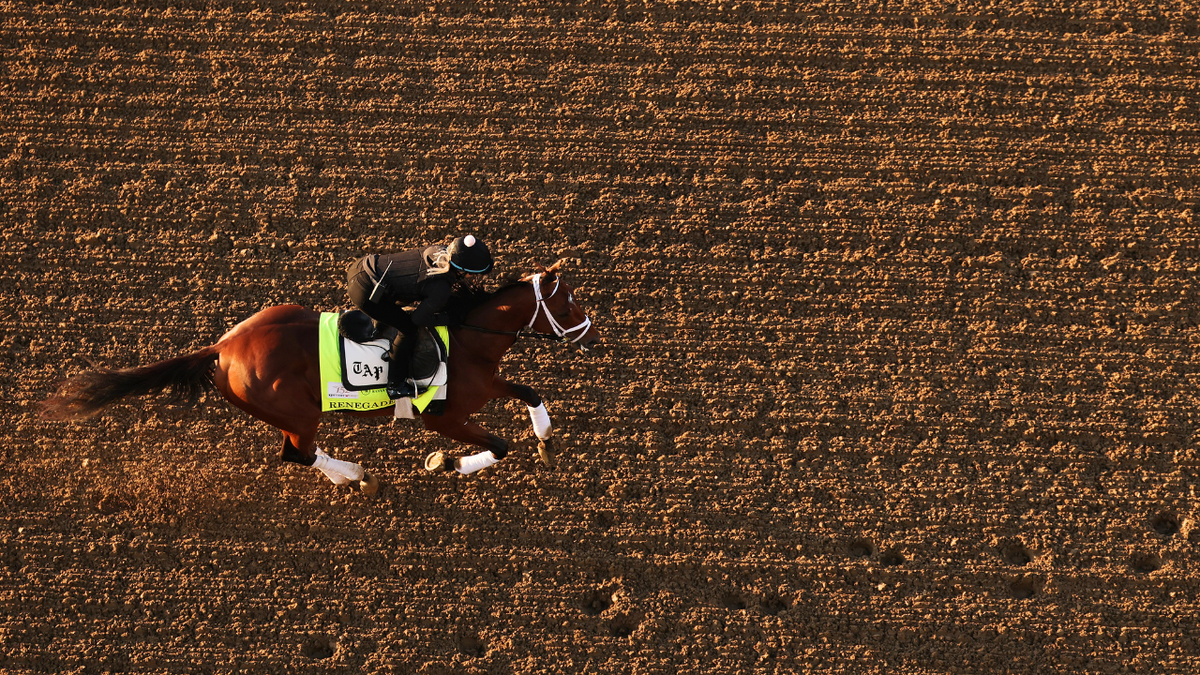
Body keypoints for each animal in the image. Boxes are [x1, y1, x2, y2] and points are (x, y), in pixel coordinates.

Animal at [40, 262, 600, 496]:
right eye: (567, 302)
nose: (592, 334)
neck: (466, 340)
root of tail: (222, 348)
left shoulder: (483, 387)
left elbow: (531, 393)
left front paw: (547, 441)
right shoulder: (444, 417)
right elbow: (498, 447)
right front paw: (447, 463)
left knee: (299, 453)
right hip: (296, 410)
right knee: (297, 453)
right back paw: (358, 477)